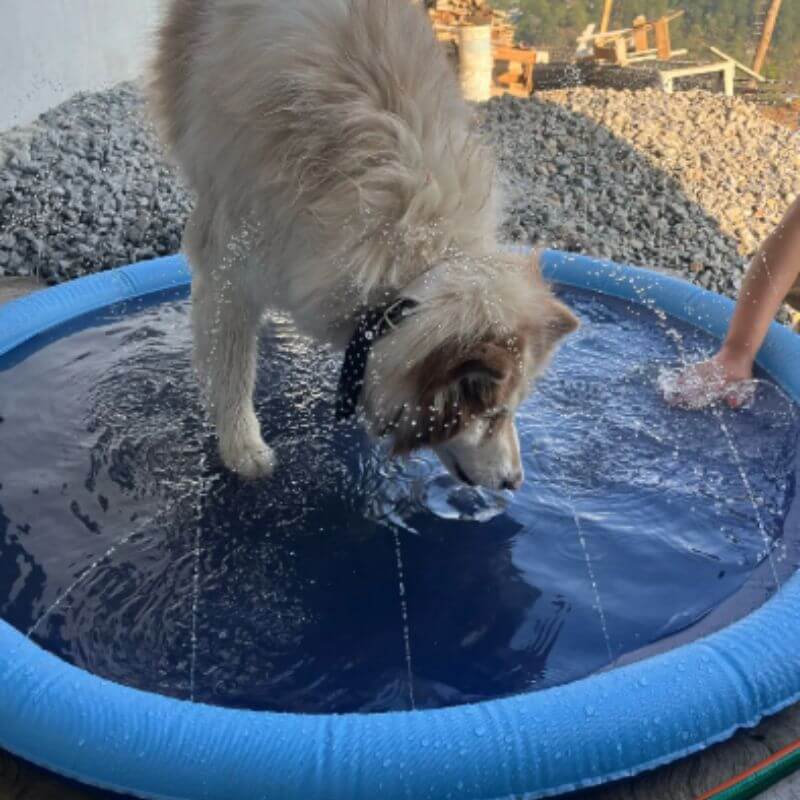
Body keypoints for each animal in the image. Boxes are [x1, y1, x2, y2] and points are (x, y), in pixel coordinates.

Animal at [148, 0, 576, 488]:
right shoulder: (230, 265)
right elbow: (232, 368)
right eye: (494, 414)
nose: (515, 482)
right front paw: (242, 448)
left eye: (510, 411)